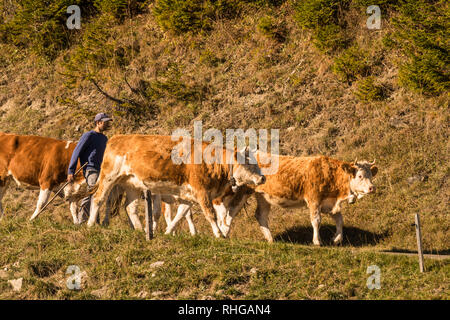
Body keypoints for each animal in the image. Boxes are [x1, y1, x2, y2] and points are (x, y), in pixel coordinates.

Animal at [86, 134, 266, 238]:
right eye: (249, 163)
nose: (263, 178)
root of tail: (116, 138)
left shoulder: (188, 196)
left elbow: (181, 214)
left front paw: (168, 231)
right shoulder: (201, 192)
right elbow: (210, 214)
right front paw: (219, 234)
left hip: (131, 184)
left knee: (130, 208)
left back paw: (140, 230)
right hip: (109, 176)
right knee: (98, 198)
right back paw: (90, 224)